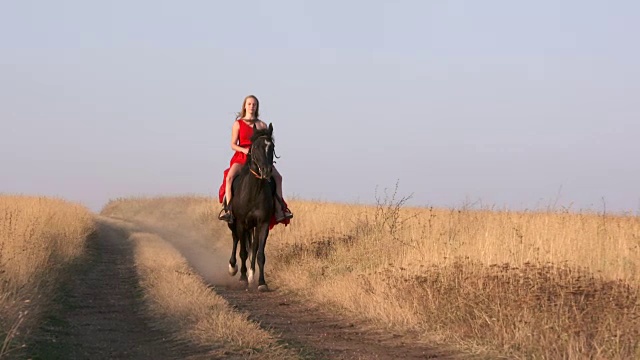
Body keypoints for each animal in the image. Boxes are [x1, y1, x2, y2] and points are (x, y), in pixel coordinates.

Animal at [226, 124, 276, 292]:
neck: (254, 191)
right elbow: (242, 252)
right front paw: (242, 279)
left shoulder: (263, 224)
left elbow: (260, 253)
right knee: (236, 240)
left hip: (253, 226)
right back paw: (233, 268)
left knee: (253, 247)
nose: (266, 171)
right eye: (256, 147)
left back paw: (251, 274)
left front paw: (261, 282)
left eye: (272, 147)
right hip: (233, 223)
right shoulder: (241, 223)